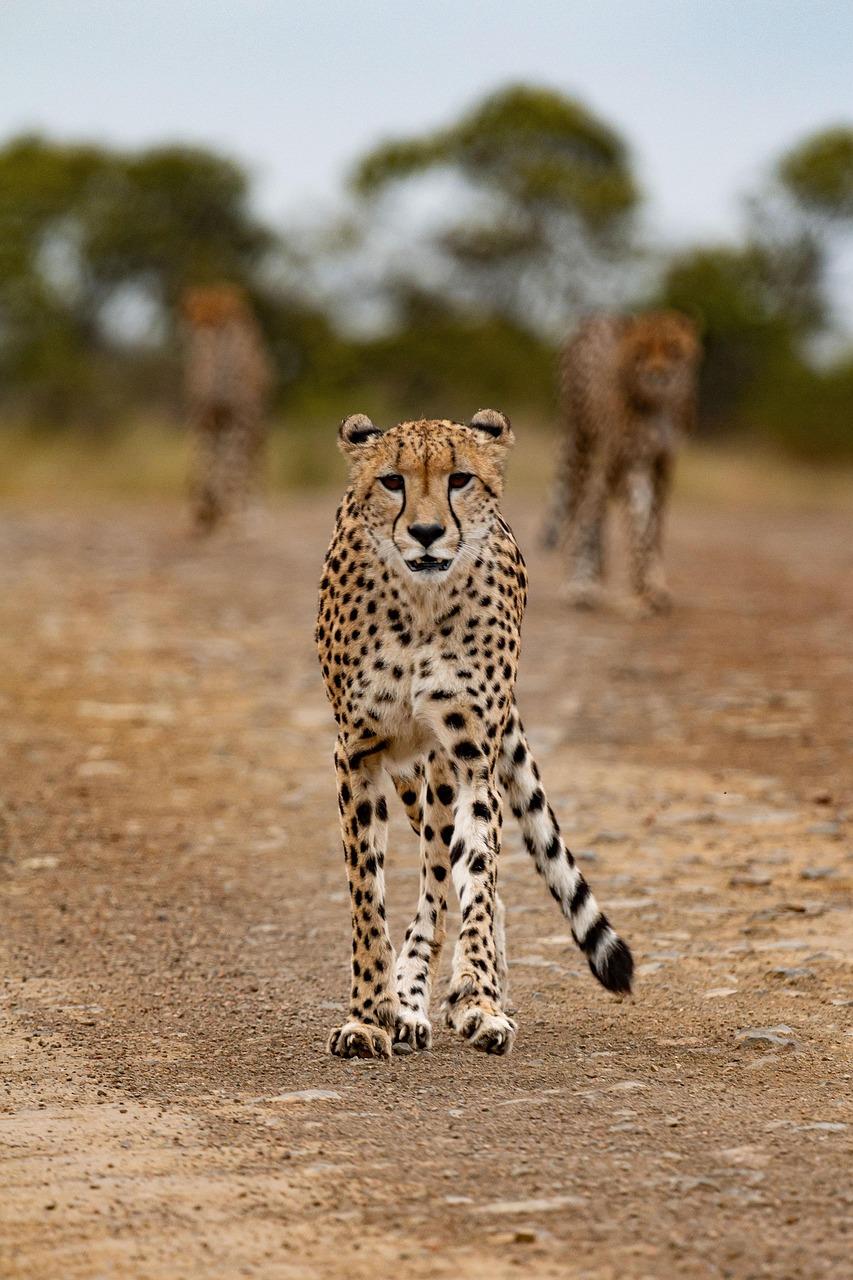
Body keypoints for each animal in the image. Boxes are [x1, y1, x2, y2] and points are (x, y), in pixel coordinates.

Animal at [181, 284, 273, 533]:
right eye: (193, 316)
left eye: (217, 319)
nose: (200, 334)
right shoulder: (205, 415)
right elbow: (206, 464)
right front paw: (204, 514)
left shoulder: (240, 418)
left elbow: (234, 467)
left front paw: (232, 516)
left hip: (256, 426)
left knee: (252, 467)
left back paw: (251, 513)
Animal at [316, 409, 634, 1060]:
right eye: (392, 481)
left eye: (460, 478)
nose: (427, 532)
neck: (419, 603)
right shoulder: (358, 753)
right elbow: (366, 897)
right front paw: (367, 1015)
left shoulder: (469, 755)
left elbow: (477, 880)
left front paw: (480, 1001)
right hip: (410, 776)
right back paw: (408, 1005)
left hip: (440, 771)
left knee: (445, 880)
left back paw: (446, 995)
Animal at [541, 311, 701, 612]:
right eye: (642, 351)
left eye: (673, 348)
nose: (658, 375)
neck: (658, 406)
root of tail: (593, 318)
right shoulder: (632, 460)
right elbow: (635, 525)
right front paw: (639, 591)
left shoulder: (662, 462)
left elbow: (653, 526)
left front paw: (654, 584)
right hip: (581, 444)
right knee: (577, 514)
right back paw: (580, 582)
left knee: (595, 513)